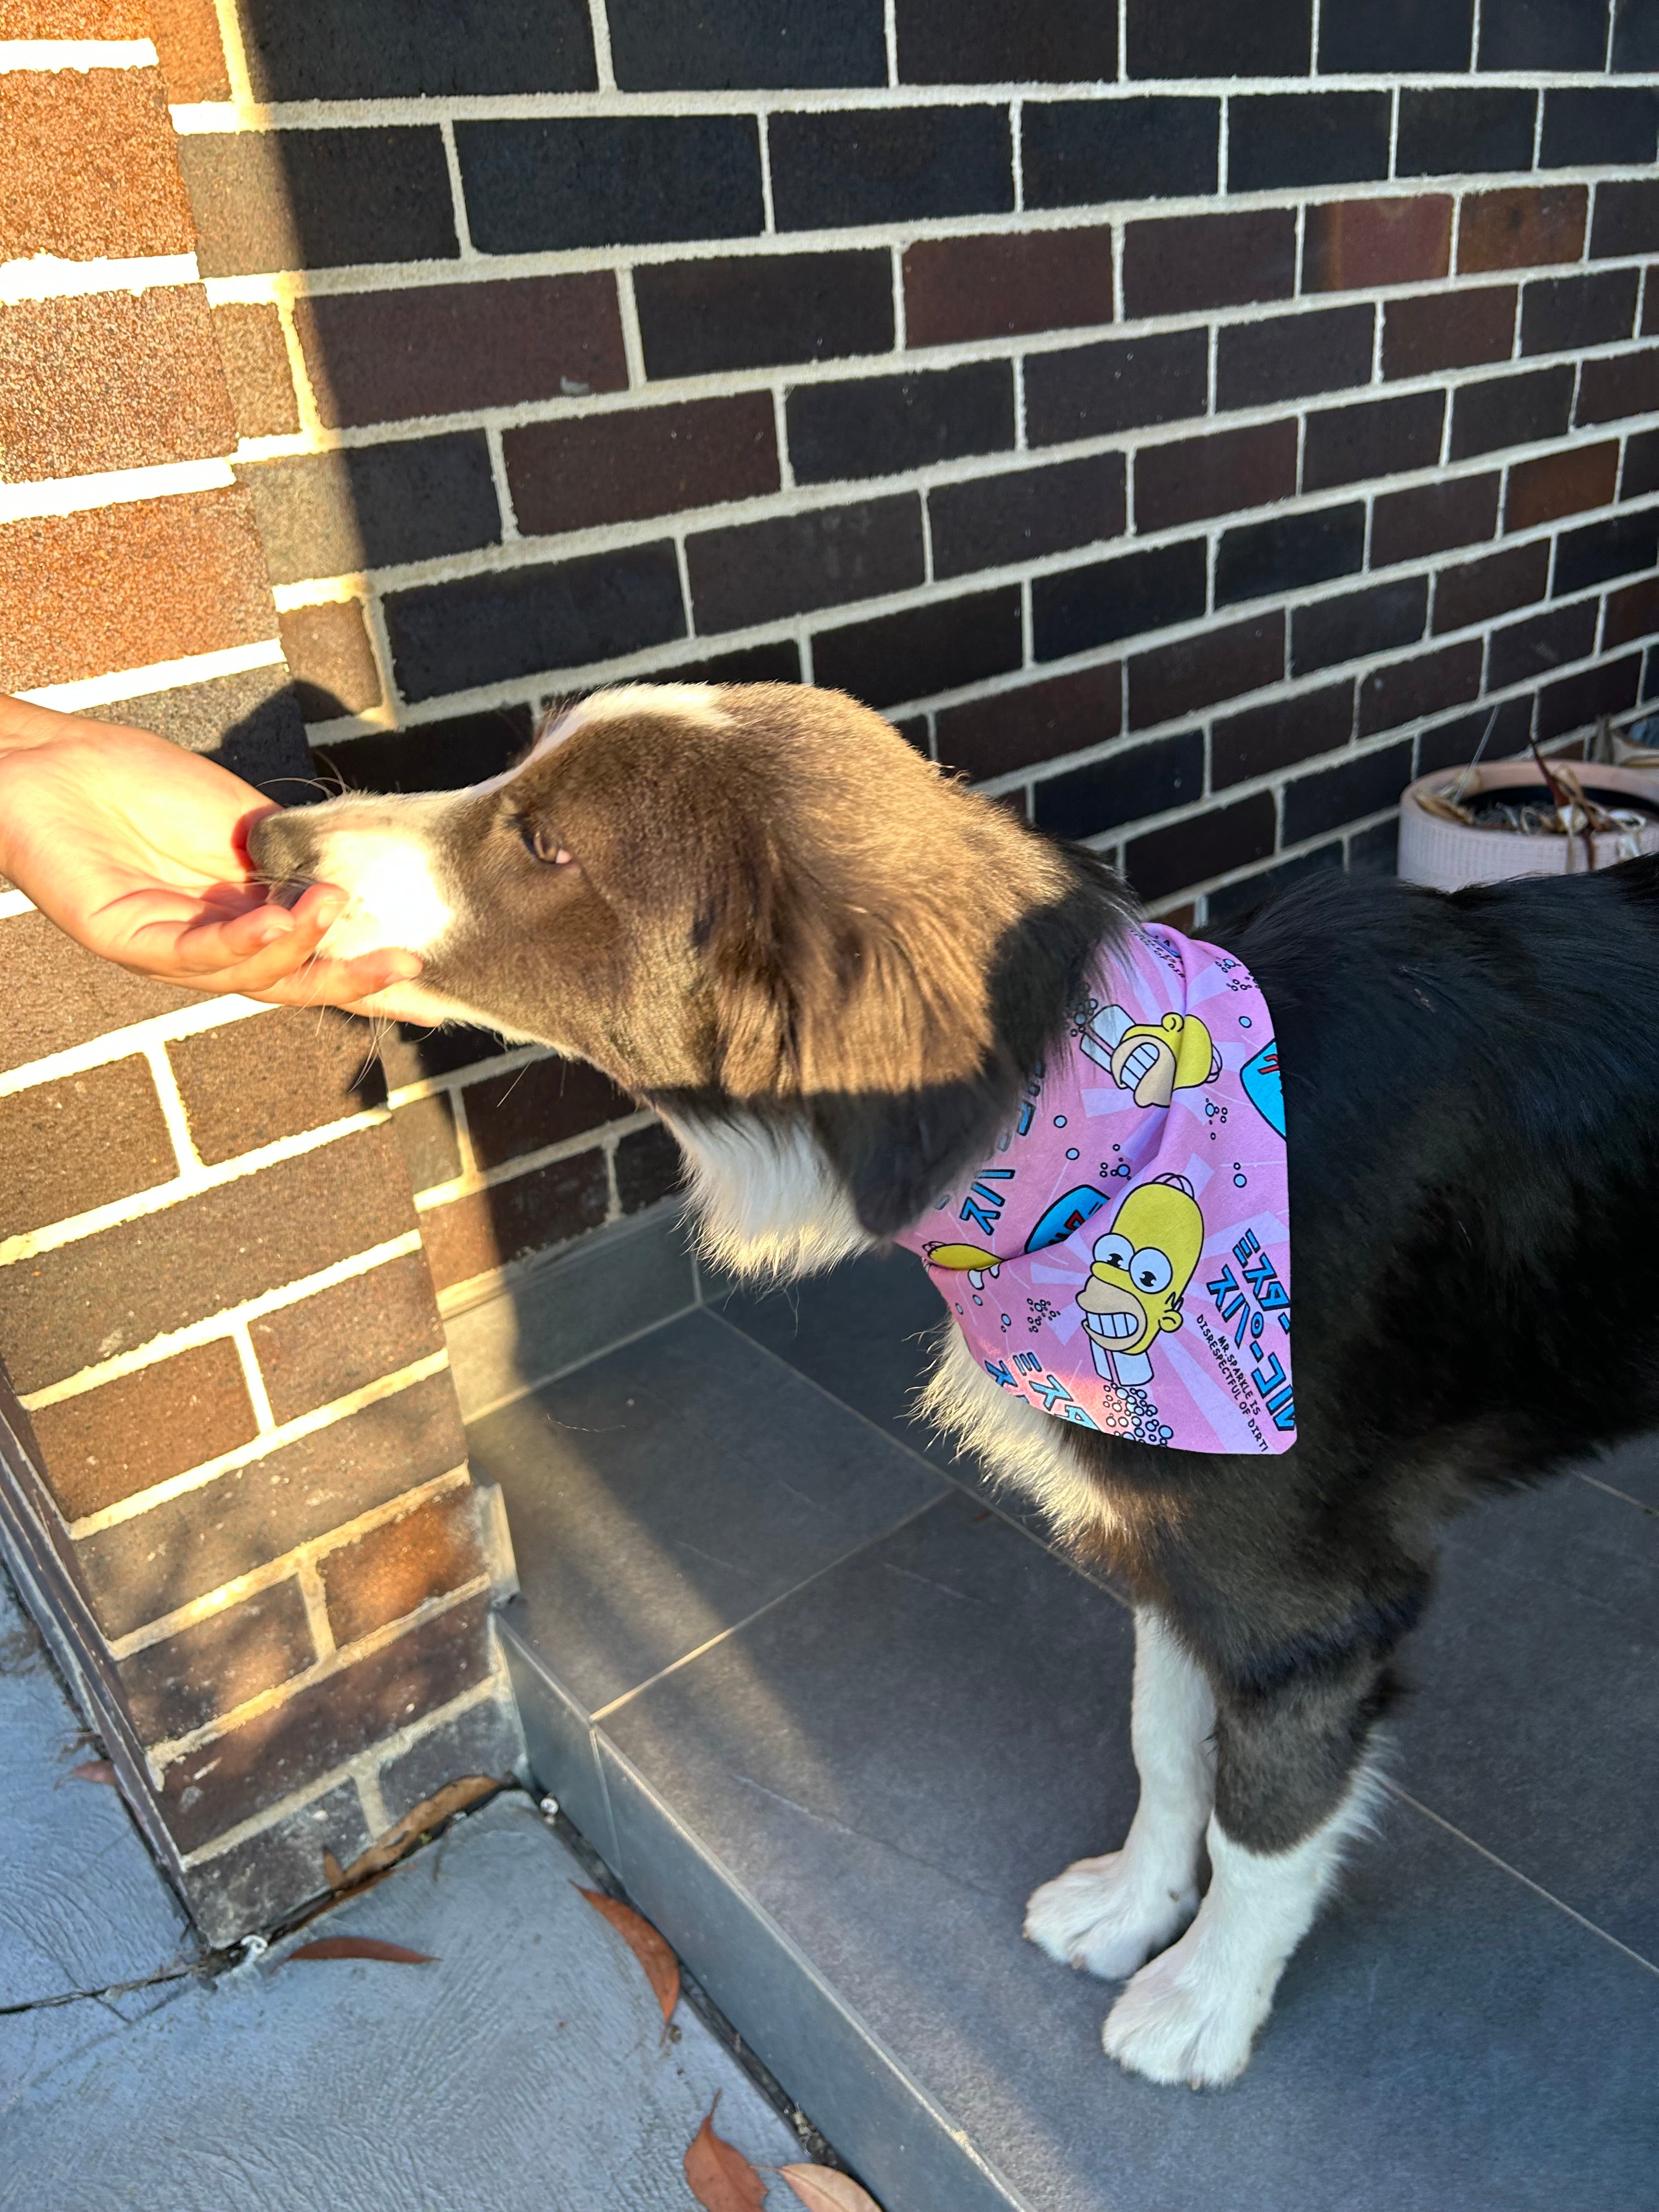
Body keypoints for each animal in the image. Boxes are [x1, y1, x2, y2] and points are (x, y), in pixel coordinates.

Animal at [246, 681, 1659, 2079]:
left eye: (545, 846)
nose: (270, 845)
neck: (1087, 1120)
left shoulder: (1307, 1608)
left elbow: (1263, 1823)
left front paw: (1206, 2001)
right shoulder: (1163, 1529)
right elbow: (1164, 1743)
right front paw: (1135, 1906)